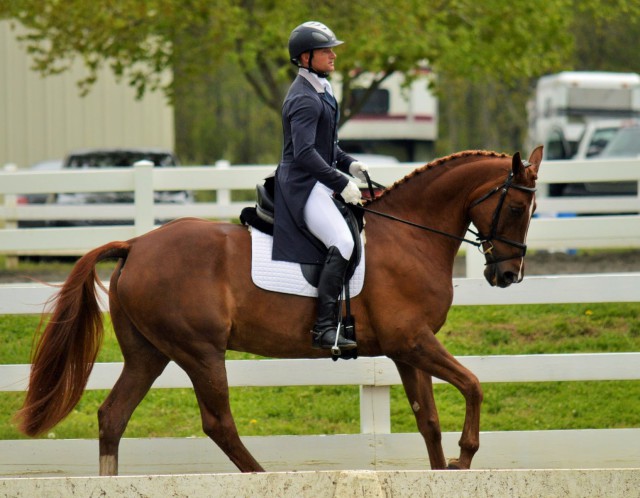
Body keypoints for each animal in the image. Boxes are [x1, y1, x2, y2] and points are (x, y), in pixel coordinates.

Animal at [15, 147, 544, 474]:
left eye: (532, 211)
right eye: (519, 209)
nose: (507, 275)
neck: (410, 234)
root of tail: (136, 244)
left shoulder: (404, 350)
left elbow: (428, 420)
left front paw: (442, 471)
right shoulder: (413, 341)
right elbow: (473, 385)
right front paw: (464, 458)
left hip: (149, 354)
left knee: (113, 416)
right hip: (200, 352)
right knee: (218, 424)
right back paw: (261, 474)